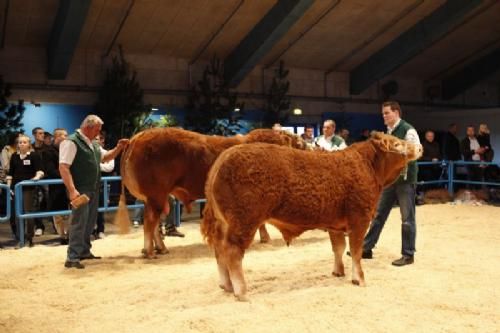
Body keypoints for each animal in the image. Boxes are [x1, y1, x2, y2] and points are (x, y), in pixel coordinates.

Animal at [117, 127, 304, 256]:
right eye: (301, 144)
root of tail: (136, 138)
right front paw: (265, 238)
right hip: (156, 194)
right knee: (150, 221)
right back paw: (150, 251)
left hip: (154, 197)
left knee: (154, 222)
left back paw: (160, 249)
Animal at [201, 131, 424, 300]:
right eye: (397, 143)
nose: (420, 147)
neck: (369, 167)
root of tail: (225, 156)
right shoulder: (359, 219)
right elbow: (356, 251)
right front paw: (359, 279)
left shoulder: (335, 224)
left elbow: (338, 248)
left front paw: (338, 272)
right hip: (244, 221)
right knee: (232, 252)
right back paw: (241, 291)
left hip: (225, 224)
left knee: (219, 250)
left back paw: (226, 285)